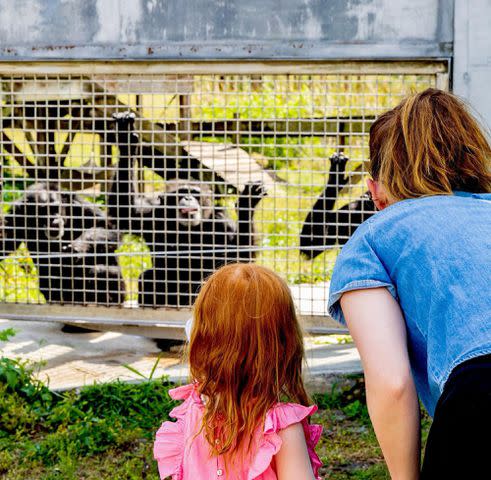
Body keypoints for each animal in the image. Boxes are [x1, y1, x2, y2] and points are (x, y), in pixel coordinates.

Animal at [109, 111, 268, 308]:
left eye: (195, 193)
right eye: (182, 192)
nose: (188, 198)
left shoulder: (222, 223)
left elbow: (238, 258)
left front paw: (247, 204)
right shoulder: (151, 215)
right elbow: (125, 212)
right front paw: (126, 142)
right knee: (148, 276)